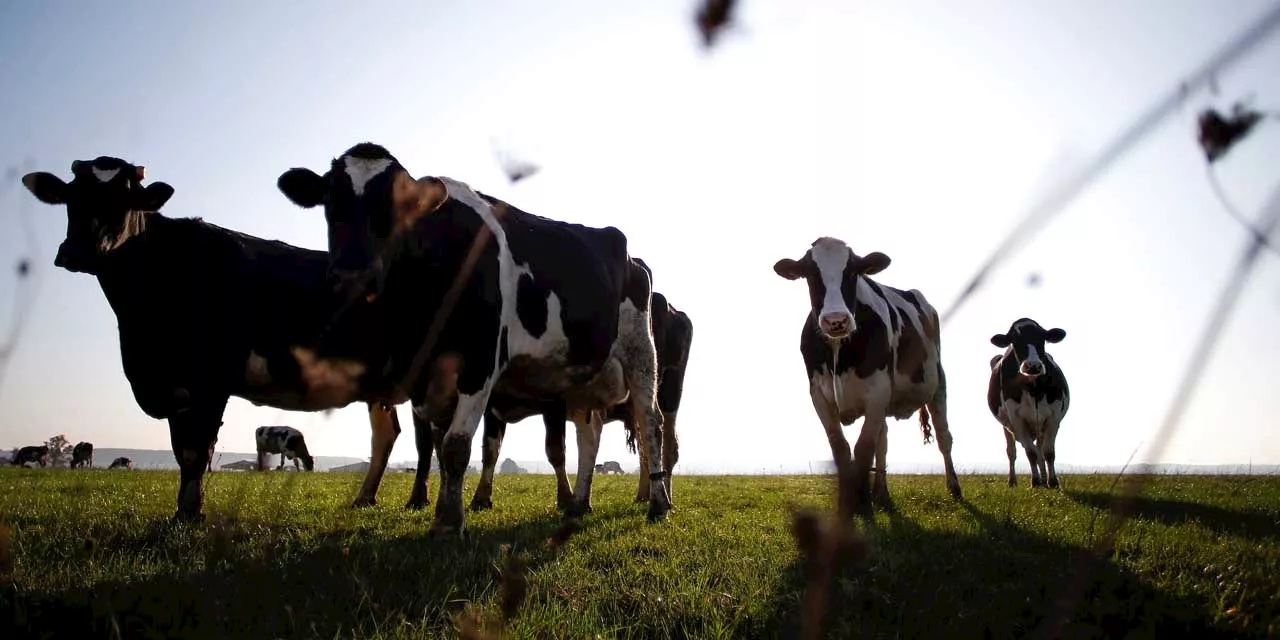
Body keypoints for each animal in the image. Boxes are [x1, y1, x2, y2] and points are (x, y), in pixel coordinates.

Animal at [18, 157, 419, 522]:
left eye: (124, 198)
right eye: (71, 196)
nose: (77, 251)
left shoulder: (210, 379)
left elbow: (197, 450)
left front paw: (190, 514)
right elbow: (182, 448)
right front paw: (184, 511)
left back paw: (416, 502)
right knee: (386, 433)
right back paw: (365, 498)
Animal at [271, 141, 670, 535]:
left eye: (399, 208)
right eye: (331, 201)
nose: (353, 276)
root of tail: (629, 254)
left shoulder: (480, 360)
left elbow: (455, 447)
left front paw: (450, 523)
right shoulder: (426, 376)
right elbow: (438, 446)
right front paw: (441, 513)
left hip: (640, 352)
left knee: (651, 422)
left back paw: (658, 503)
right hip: (580, 374)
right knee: (590, 434)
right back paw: (578, 504)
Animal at [768, 238, 962, 517]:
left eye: (852, 272)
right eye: (811, 274)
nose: (836, 321)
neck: (838, 352)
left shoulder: (878, 392)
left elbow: (863, 448)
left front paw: (862, 506)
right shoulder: (819, 396)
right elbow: (842, 448)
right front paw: (849, 504)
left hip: (938, 383)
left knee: (944, 436)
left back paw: (954, 487)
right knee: (884, 440)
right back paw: (881, 493)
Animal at [988, 317, 1070, 486]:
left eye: (1042, 338)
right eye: (1014, 340)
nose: (1033, 366)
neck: (1033, 388)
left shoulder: (1053, 417)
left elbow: (1048, 452)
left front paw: (1053, 482)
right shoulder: (1017, 419)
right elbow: (1031, 453)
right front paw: (1035, 481)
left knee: (1040, 450)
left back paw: (1045, 479)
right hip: (1008, 427)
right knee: (1012, 452)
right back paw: (1013, 481)